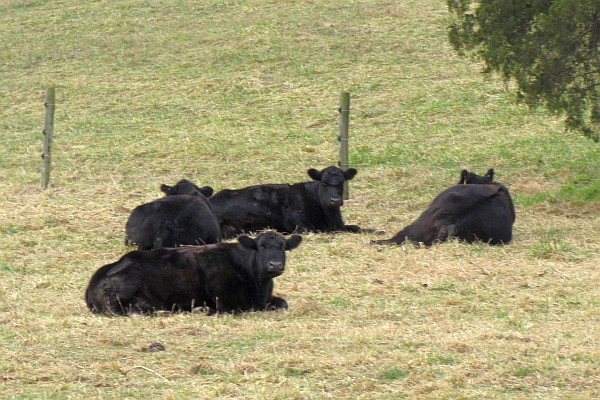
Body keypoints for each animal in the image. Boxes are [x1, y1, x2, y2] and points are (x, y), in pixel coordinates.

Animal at [85, 231, 300, 316]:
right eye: (261, 246)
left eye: (283, 247)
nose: (275, 265)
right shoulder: (225, 301)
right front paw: (202, 309)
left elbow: (283, 303)